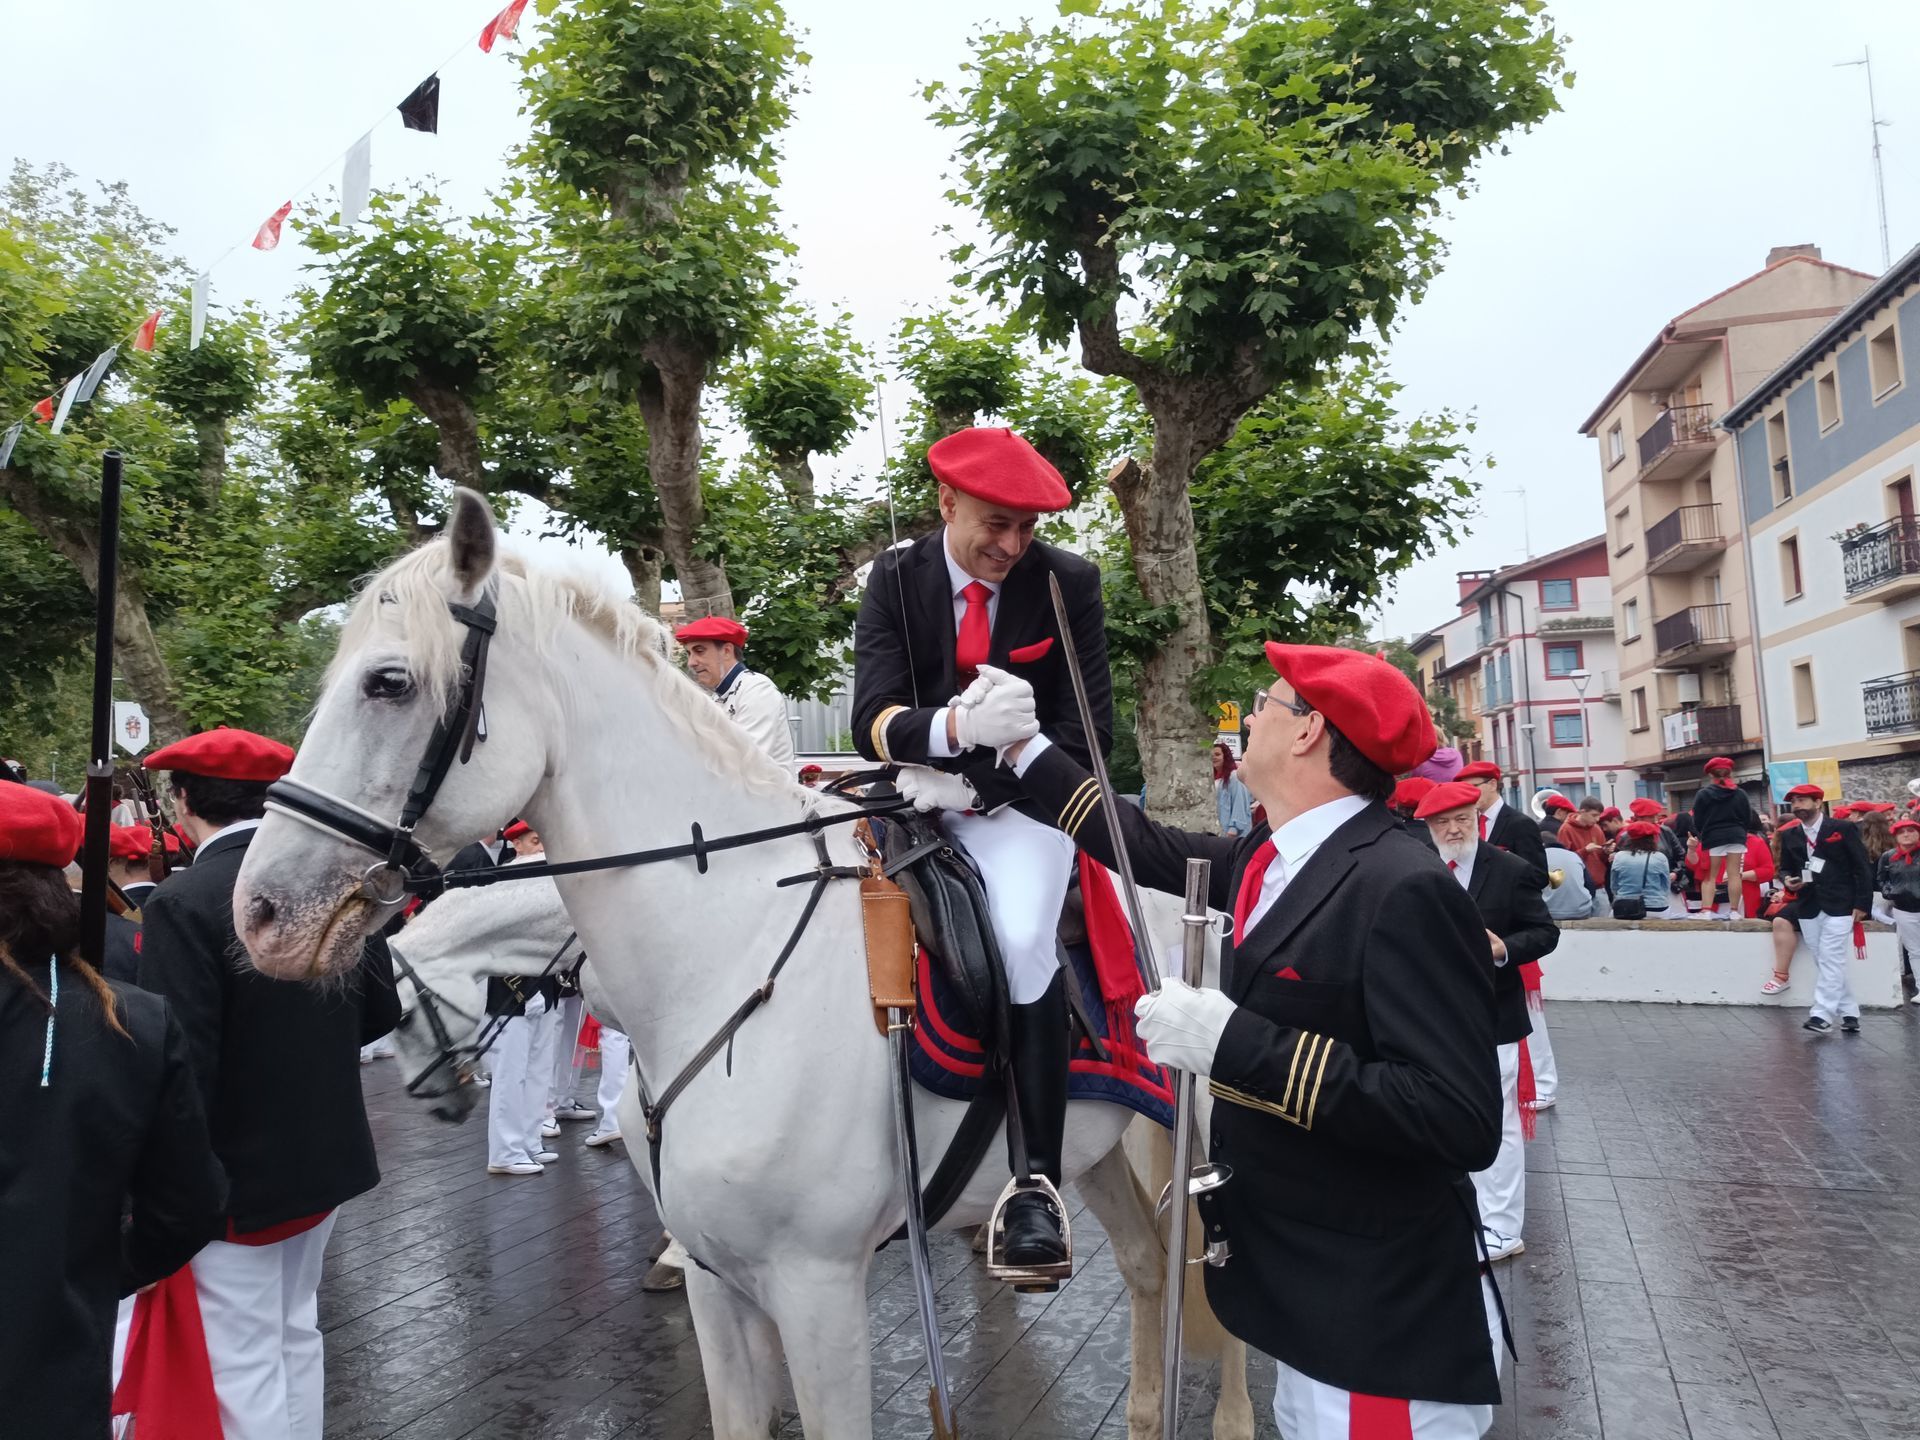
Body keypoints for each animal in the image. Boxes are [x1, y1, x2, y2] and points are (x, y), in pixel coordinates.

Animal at [233, 490, 1251, 1438]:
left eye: (389, 682)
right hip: (1099, 1145)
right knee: (1147, 1267)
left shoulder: (819, 1291)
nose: (261, 911)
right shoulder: (719, 1285)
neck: (722, 952)